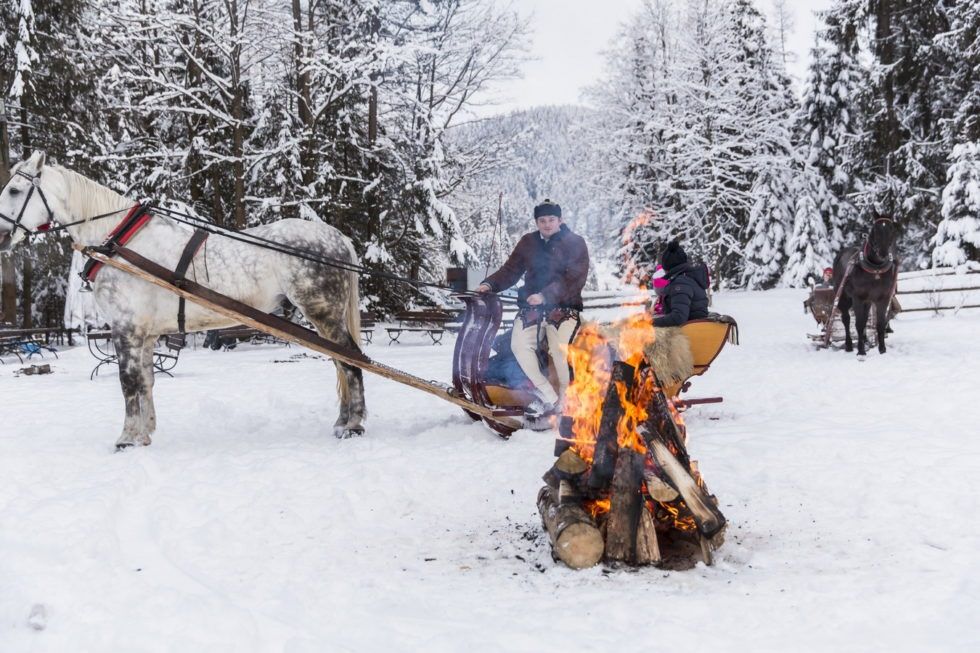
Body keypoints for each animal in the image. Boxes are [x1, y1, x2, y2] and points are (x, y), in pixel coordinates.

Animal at [0, 152, 368, 446]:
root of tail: (336, 236)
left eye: (14, 190)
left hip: (322, 312)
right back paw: (343, 421)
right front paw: (145, 433)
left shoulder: (125, 328)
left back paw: (353, 424)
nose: (1, 235)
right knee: (341, 361)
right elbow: (146, 381)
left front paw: (127, 439)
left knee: (350, 360)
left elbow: (128, 382)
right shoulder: (146, 334)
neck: (121, 243)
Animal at [832, 216, 900, 354]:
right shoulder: (857, 298)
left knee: (865, 318)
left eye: (892, 229)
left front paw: (882, 349)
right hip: (843, 297)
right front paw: (861, 351)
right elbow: (858, 323)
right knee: (846, 319)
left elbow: (880, 323)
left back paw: (865, 340)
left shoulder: (883, 299)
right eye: (875, 229)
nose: (883, 252)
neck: (875, 270)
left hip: (867, 301)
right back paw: (849, 345)